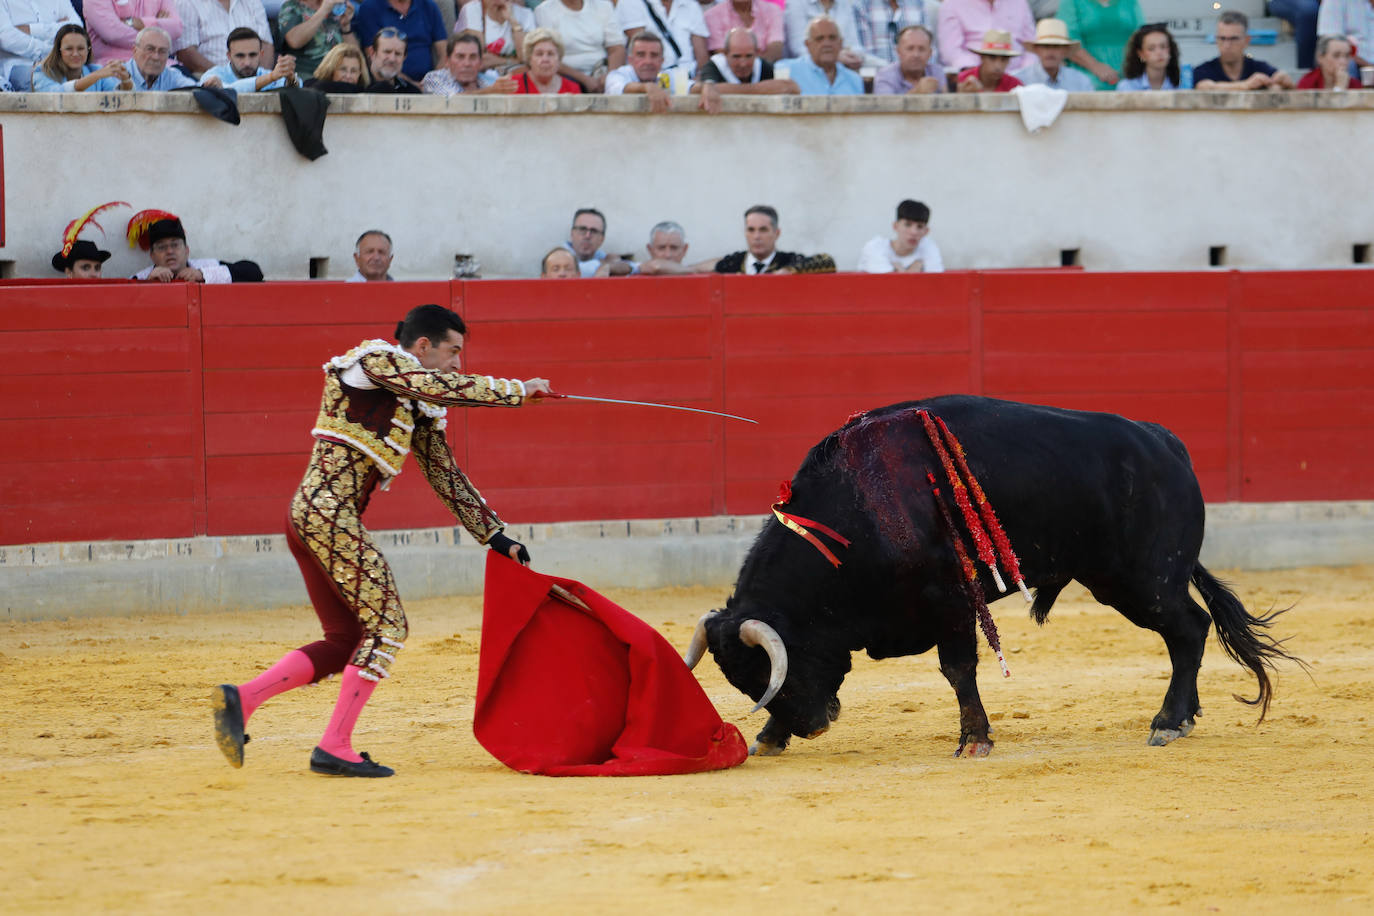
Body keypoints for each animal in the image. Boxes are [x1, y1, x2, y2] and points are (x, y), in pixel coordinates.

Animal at [687, 395, 1297, 758]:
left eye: (763, 670)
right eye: (742, 680)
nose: (812, 725)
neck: (859, 508)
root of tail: (1167, 444)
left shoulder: (951, 601)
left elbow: (958, 670)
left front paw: (974, 741)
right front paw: (768, 736)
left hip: (1142, 581)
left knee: (1189, 629)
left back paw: (1168, 721)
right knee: (1187, 631)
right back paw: (1182, 717)